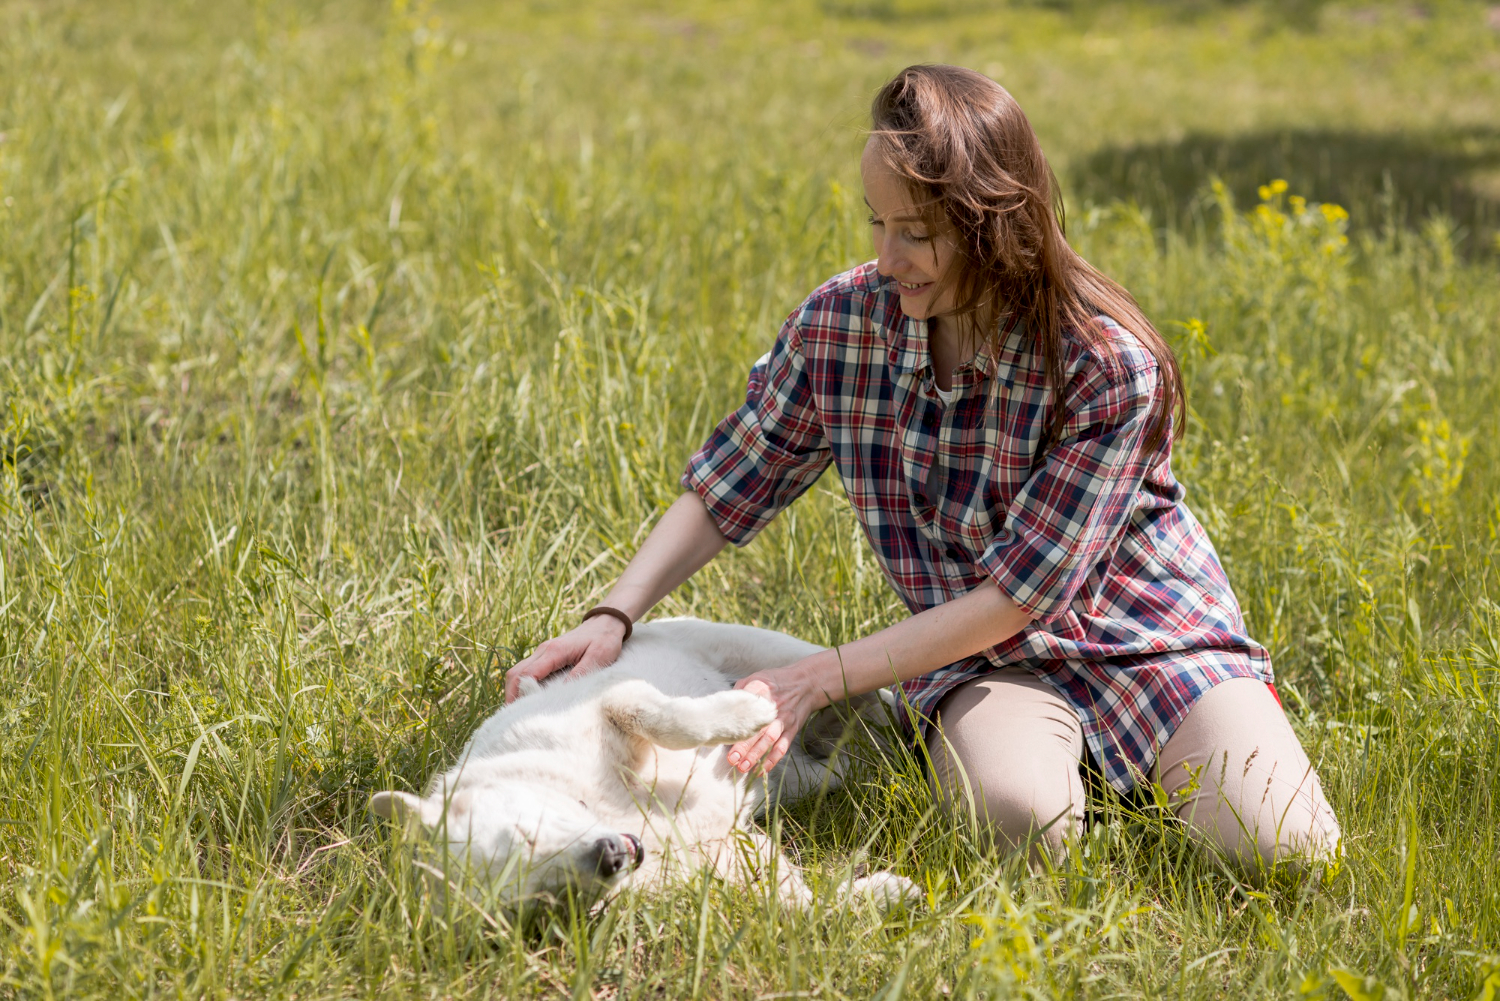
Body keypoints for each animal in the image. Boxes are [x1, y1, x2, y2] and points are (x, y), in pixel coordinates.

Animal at [372, 615, 912, 912]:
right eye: (547, 897)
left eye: (526, 833)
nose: (610, 857)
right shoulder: (731, 858)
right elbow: (807, 909)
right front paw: (884, 895)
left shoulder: (613, 701)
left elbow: (657, 714)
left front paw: (747, 713)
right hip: (805, 778)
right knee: (845, 761)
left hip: (769, 649)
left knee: (853, 676)